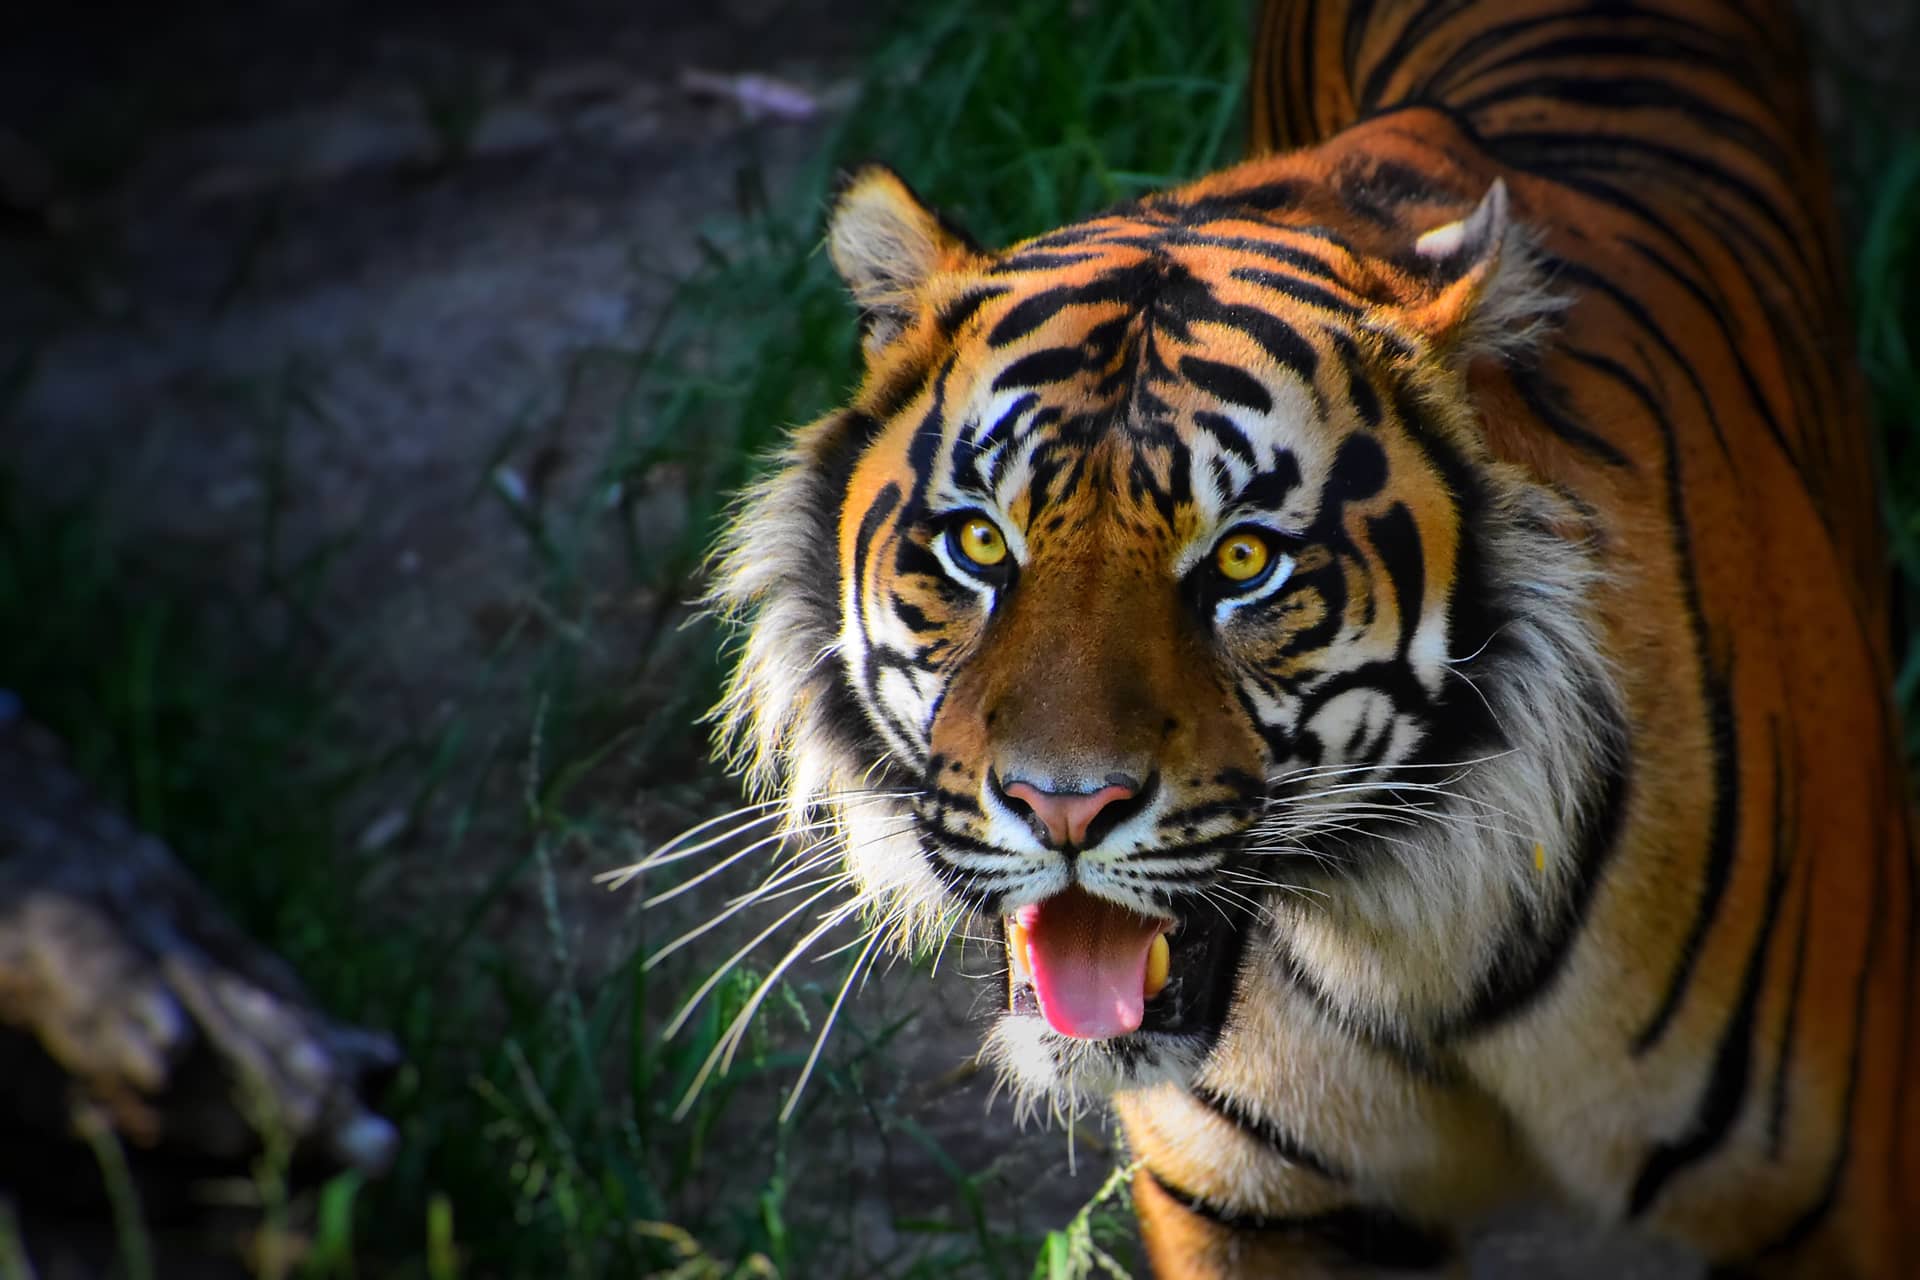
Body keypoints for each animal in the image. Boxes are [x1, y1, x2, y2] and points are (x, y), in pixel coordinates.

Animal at [703, 0, 1919, 1274]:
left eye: (1245, 561)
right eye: (981, 544)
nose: (1063, 807)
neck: (1415, 948)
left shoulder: (1833, 1200)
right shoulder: (1251, 1206)